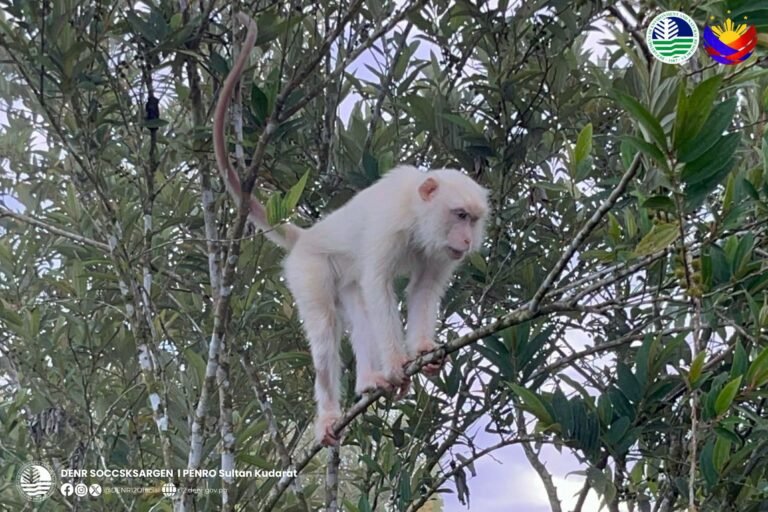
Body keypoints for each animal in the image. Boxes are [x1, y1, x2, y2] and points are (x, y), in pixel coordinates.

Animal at [213, 14, 489, 446]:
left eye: (474, 219)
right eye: (460, 215)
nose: (466, 240)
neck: (418, 215)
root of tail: (307, 236)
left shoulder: (440, 252)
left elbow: (422, 290)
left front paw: (422, 349)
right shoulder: (391, 225)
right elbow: (380, 286)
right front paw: (397, 362)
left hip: (341, 277)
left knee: (359, 312)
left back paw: (368, 382)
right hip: (308, 269)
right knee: (328, 330)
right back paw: (330, 412)